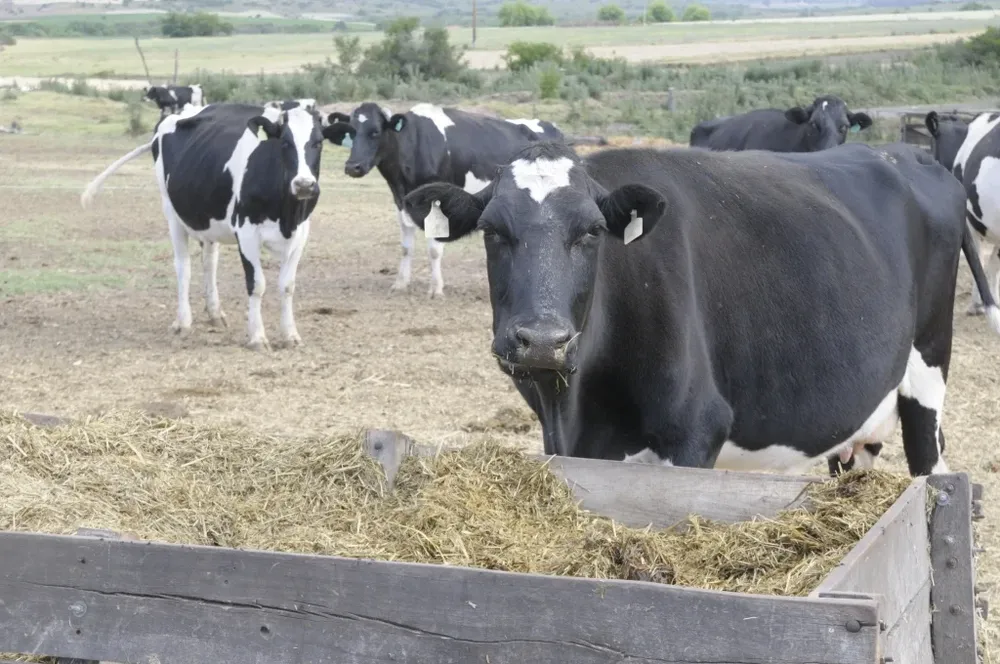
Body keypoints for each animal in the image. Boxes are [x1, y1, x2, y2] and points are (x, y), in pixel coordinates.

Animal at [80, 99, 333, 350]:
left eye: (319, 143)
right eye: (285, 143)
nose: (304, 184)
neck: (286, 215)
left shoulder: (301, 233)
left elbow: (287, 285)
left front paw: (290, 335)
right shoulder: (246, 232)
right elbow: (256, 284)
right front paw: (257, 337)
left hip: (208, 218)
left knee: (209, 262)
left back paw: (215, 313)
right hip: (172, 214)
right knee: (183, 267)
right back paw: (183, 322)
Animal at [323, 102, 566, 297]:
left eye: (375, 132)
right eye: (351, 132)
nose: (352, 167)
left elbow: (434, 249)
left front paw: (436, 288)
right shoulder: (402, 204)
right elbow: (405, 246)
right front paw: (400, 283)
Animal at [400, 140, 1000, 477]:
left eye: (592, 231)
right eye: (492, 230)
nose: (542, 340)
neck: (575, 410)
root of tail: (911, 154)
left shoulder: (694, 430)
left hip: (927, 375)